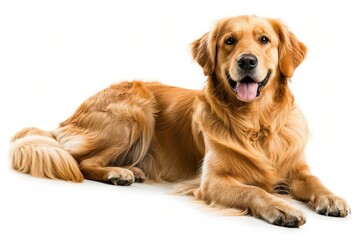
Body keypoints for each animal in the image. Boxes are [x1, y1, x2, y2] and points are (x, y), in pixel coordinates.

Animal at [10, 15, 348, 227]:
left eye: (264, 40)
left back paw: (132, 170)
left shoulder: (296, 167)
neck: (256, 122)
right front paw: (280, 207)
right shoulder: (213, 181)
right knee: (80, 161)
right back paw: (118, 173)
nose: (247, 61)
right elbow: (253, 190)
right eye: (229, 41)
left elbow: (315, 181)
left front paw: (331, 198)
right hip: (136, 109)